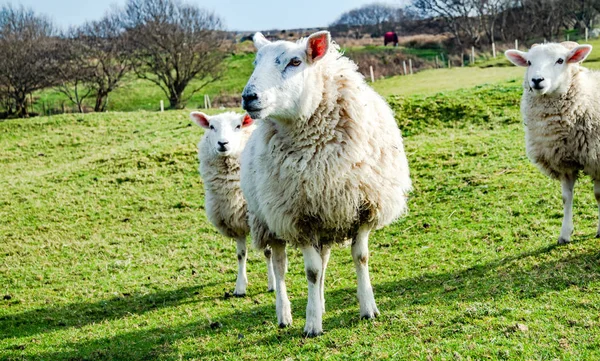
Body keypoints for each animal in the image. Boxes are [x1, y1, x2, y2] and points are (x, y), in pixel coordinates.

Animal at [190, 111, 276, 294]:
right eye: (211, 126)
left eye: (238, 126)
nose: (223, 143)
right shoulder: (235, 221)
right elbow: (241, 254)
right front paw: (240, 286)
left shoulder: (263, 220)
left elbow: (268, 252)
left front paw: (272, 284)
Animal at [239, 30, 412, 334]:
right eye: (256, 62)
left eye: (295, 62)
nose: (249, 97)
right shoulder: (298, 218)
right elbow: (311, 271)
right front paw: (312, 324)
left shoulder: (363, 207)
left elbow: (359, 258)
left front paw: (368, 308)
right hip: (270, 221)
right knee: (280, 267)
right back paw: (284, 314)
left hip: (327, 223)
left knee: (324, 261)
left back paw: (320, 302)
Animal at [504, 42, 596, 245]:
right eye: (529, 62)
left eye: (560, 60)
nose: (537, 80)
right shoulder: (563, 162)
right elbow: (566, 198)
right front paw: (565, 233)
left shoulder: (596, 160)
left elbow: (598, 194)